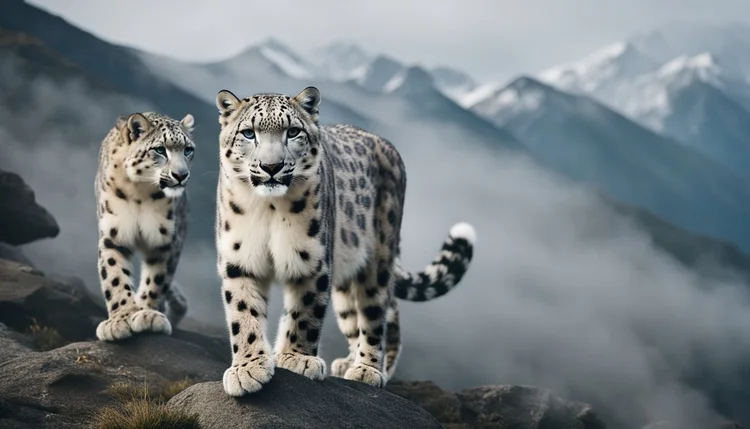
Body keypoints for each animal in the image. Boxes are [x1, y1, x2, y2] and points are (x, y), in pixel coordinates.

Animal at [94, 111, 195, 341]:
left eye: (188, 150)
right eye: (160, 149)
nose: (181, 175)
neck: (140, 192)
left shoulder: (166, 240)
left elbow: (156, 279)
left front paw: (147, 315)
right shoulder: (113, 234)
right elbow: (114, 274)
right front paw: (120, 319)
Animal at [214, 86, 476, 396]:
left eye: (292, 131)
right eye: (248, 133)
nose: (271, 166)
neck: (269, 208)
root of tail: (387, 145)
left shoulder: (311, 260)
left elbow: (304, 313)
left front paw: (296, 358)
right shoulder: (239, 260)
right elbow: (243, 314)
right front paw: (248, 367)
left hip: (377, 260)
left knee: (378, 314)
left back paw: (370, 369)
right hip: (345, 278)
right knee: (356, 318)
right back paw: (349, 362)